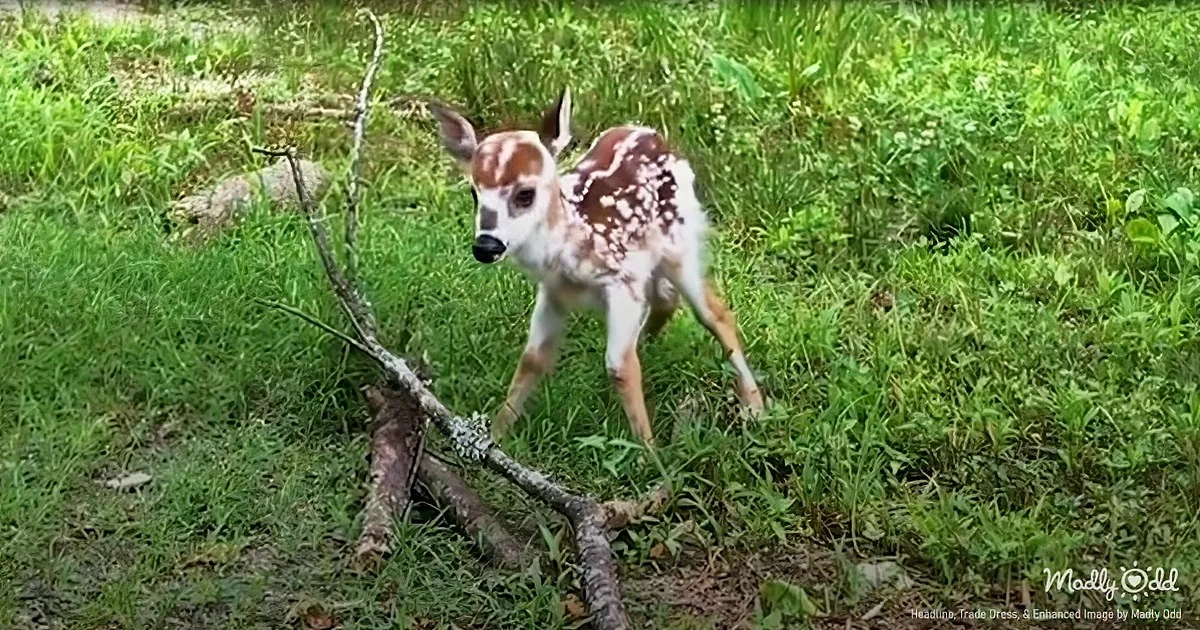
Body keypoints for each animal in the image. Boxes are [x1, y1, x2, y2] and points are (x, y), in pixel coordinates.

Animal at [430, 88, 764, 447]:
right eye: (473, 192)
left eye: (525, 194)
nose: (486, 246)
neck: (570, 246)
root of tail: (655, 135)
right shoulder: (553, 291)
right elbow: (533, 359)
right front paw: (493, 435)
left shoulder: (623, 281)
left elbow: (620, 367)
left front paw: (650, 453)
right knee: (666, 299)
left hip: (681, 243)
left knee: (715, 313)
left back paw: (755, 407)